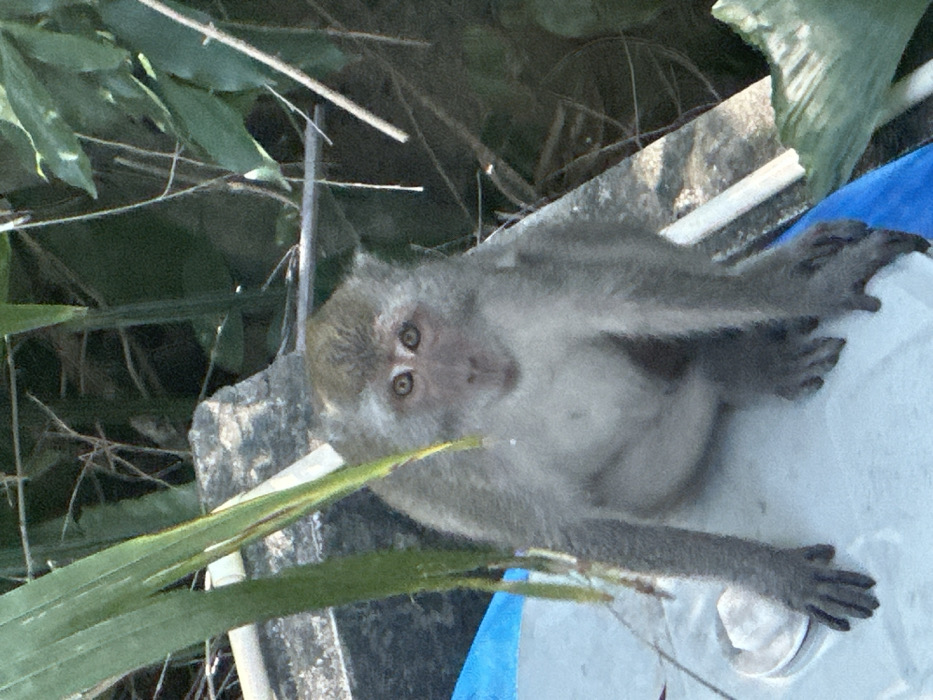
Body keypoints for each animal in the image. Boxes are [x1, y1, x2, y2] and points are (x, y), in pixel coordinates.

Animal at [305, 218, 929, 631]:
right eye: (404, 387)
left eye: (411, 335)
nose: (467, 366)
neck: (494, 396)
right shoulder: (442, 477)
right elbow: (576, 532)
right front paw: (771, 573)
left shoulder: (492, 297)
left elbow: (627, 297)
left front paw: (805, 289)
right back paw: (731, 370)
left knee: (550, 244)